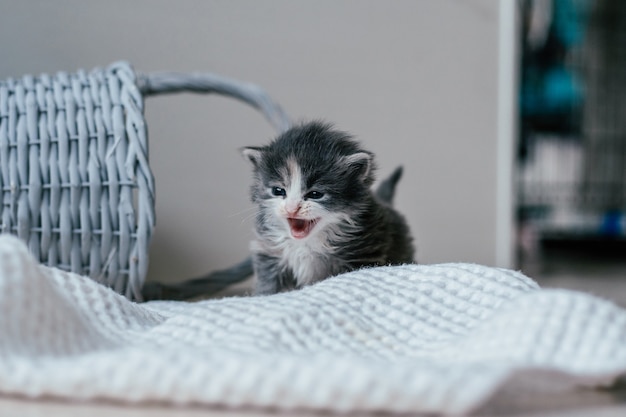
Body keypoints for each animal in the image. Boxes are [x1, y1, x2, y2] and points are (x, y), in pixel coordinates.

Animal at [241, 122, 412, 294]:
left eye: (315, 194)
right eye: (278, 191)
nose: (291, 208)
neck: (306, 244)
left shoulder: (362, 255)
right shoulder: (269, 252)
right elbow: (269, 285)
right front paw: (263, 295)